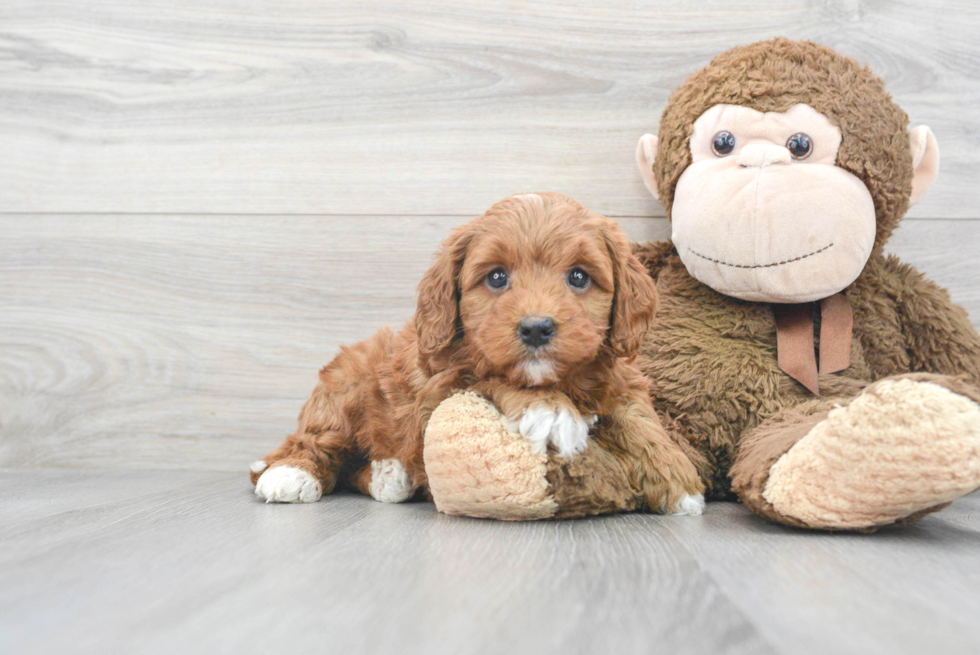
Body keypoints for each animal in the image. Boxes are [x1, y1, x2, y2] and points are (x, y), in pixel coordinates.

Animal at [249, 192, 700, 516]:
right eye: (497, 277)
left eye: (578, 277)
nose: (536, 327)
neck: (563, 379)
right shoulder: (440, 388)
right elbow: (491, 375)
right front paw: (551, 411)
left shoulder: (619, 379)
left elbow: (638, 419)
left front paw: (677, 477)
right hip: (345, 387)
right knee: (314, 442)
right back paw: (290, 474)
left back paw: (389, 476)